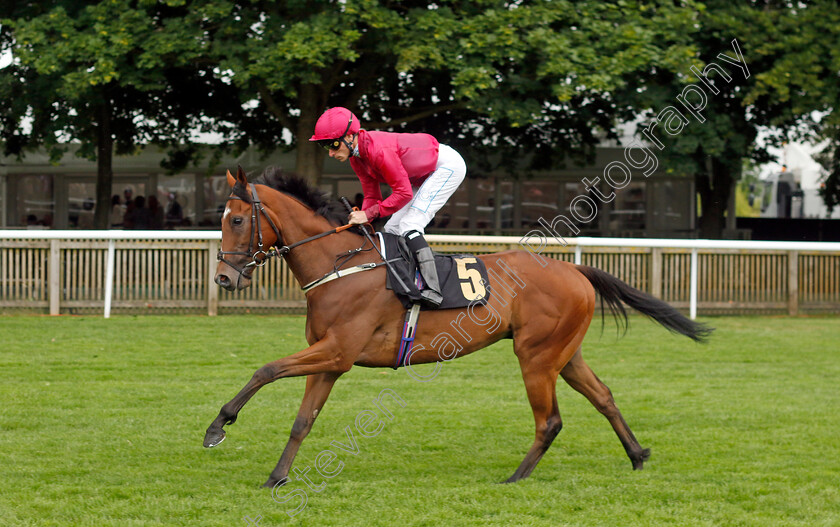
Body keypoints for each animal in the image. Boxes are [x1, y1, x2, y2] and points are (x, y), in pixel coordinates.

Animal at [203, 167, 708, 488]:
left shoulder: (338, 351)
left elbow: (266, 369)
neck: (340, 264)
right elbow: (302, 421)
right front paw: (277, 476)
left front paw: (218, 426)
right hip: (564, 354)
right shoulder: (330, 359)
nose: (225, 278)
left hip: (536, 356)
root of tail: (574, 270)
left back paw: (516, 477)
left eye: (238, 219)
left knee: (549, 420)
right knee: (602, 395)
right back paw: (637, 455)